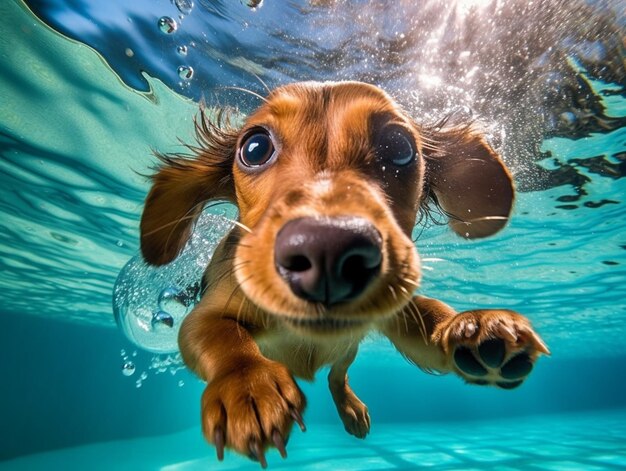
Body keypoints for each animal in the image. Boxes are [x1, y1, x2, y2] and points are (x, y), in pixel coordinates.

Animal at [140, 82, 544, 468]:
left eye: (399, 146)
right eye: (254, 148)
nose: (327, 250)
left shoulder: (397, 311)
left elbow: (430, 317)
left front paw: (469, 327)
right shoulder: (205, 315)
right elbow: (223, 337)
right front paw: (247, 387)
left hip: (349, 348)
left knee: (338, 374)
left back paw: (351, 408)